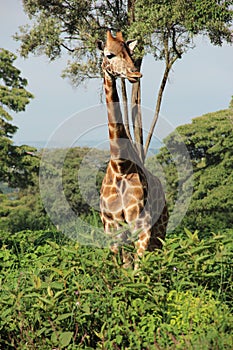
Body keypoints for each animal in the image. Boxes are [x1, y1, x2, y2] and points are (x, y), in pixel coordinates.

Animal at [97, 30, 168, 268]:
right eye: (109, 54)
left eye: (130, 52)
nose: (135, 74)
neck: (121, 166)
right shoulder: (111, 228)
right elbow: (121, 270)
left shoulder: (142, 227)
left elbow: (138, 272)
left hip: (160, 231)